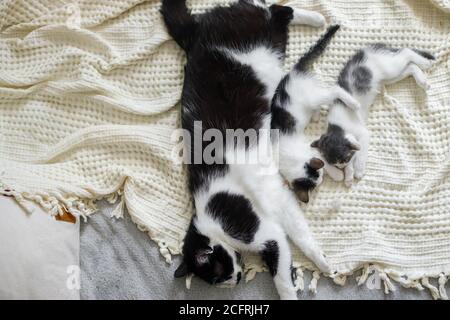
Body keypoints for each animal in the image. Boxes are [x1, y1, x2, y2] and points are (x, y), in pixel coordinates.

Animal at [163, 0, 334, 300]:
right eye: (220, 281)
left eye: (219, 272)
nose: (238, 278)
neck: (212, 219)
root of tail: (196, 31)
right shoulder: (269, 232)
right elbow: (281, 261)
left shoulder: (268, 215)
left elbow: (288, 258)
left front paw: (319, 263)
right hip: (273, 44)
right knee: (275, 13)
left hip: (259, 38)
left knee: (275, 10)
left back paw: (316, 18)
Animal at [270, 26, 362, 204]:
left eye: (321, 178)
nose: (321, 180)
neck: (288, 158)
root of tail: (294, 72)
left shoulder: (311, 148)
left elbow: (325, 160)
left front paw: (337, 174)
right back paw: (316, 115)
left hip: (311, 97)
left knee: (335, 90)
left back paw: (353, 103)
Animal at [312, 43, 434, 186]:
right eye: (335, 164)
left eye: (343, 160)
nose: (341, 167)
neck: (337, 128)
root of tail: (369, 49)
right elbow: (354, 152)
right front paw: (348, 175)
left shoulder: (363, 134)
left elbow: (360, 153)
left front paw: (358, 170)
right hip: (389, 78)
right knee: (410, 67)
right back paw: (422, 80)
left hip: (389, 68)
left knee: (406, 52)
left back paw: (425, 63)